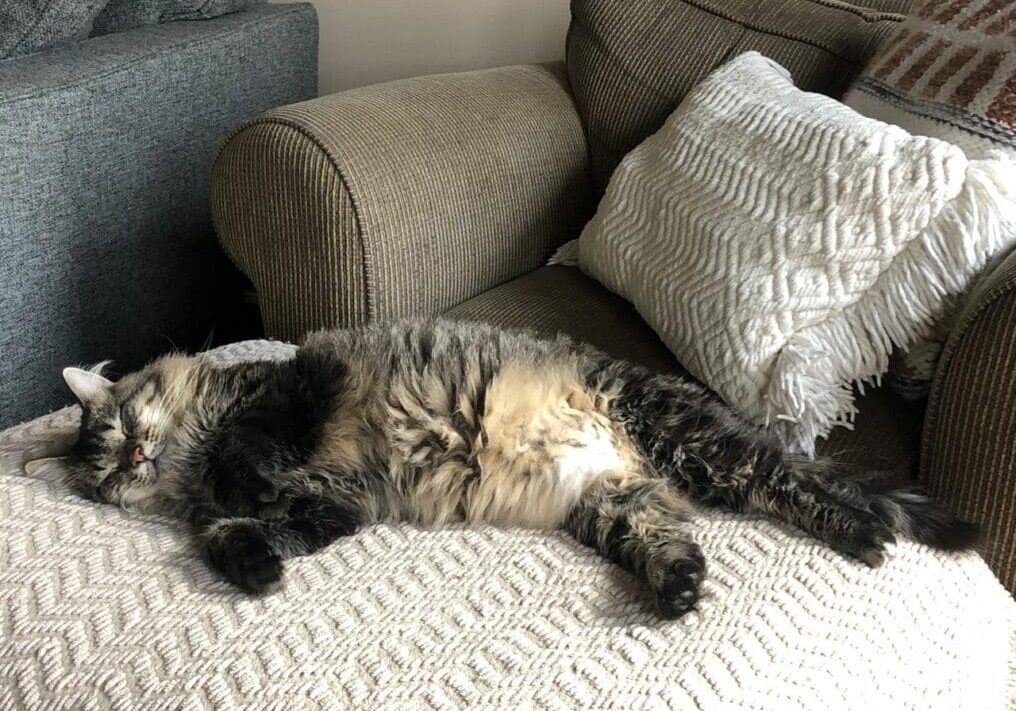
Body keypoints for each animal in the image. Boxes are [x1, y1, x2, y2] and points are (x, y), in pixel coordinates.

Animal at [61, 318, 975, 617]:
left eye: (119, 425)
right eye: (101, 473)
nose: (131, 458)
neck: (190, 462)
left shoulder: (295, 395)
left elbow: (249, 457)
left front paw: (241, 487)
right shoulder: (338, 502)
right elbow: (242, 533)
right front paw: (255, 566)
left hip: (702, 446)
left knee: (808, 481)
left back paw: (871, 530)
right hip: (617, 505)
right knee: (676, 540)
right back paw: (679, 586)